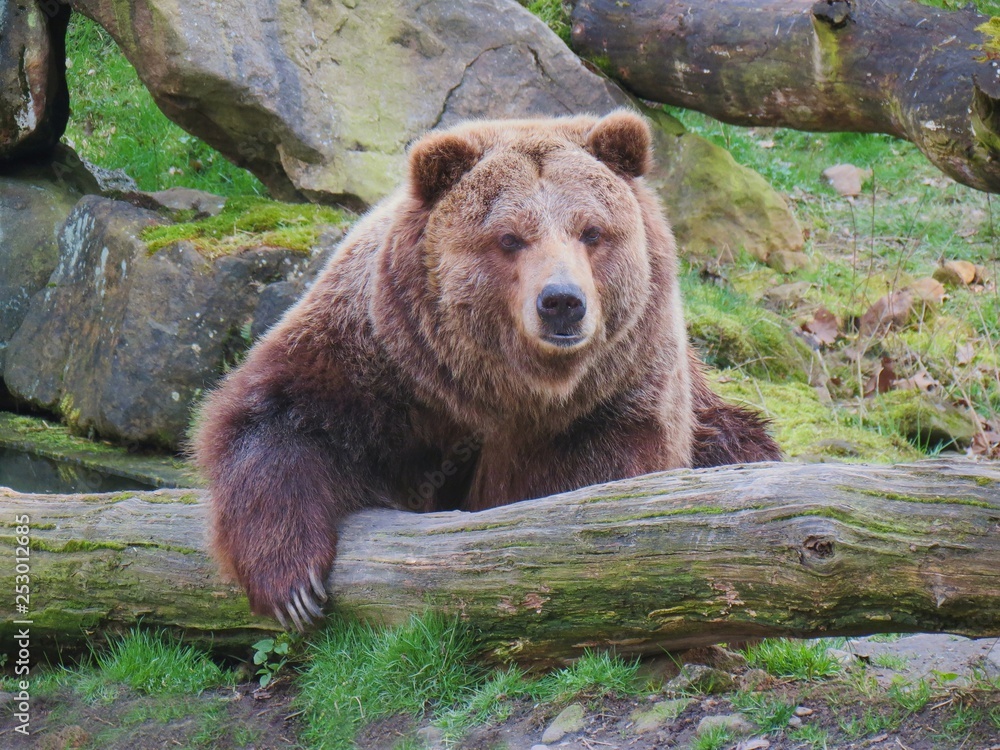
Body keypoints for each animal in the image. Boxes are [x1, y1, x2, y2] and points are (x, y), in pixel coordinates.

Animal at [193, 111, 780, 631]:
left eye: (591, 231)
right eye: (509, 238)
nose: (562, 302)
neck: (504, 387)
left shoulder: (616, 392)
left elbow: (592, 486)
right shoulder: (381, 354)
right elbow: (284, 416)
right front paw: (293, 584)